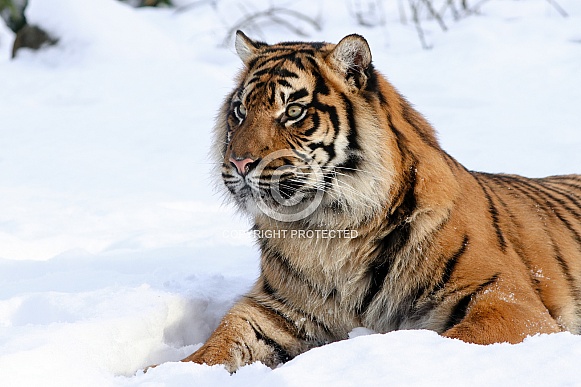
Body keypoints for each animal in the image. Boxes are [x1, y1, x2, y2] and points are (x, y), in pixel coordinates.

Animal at [177, 31, 580, 372]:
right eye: (240, 111)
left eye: (293, 111)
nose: (239, 163)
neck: (326, 229)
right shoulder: (278, 309)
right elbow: (218, 344)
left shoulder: (508, 301)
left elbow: (454, 339)